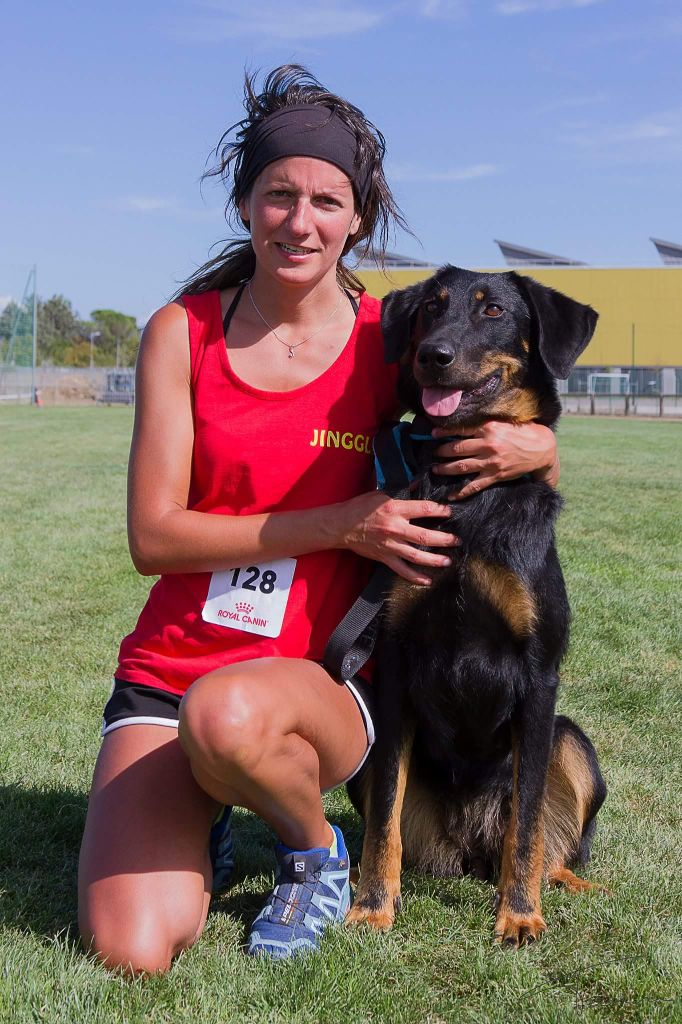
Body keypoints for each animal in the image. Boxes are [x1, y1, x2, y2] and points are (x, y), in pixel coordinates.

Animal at [346, 264, 606, 942]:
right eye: (431, 309)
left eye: (493, 312)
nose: (432, 356)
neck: (466, 501)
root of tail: (470, 844)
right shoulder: (396, 668)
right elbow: (384, 817)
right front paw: (372, 904)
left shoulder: (539, 679)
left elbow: (529, 822)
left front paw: (519, 916)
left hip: (574, 744)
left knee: (545, 842)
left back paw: (564, 885)